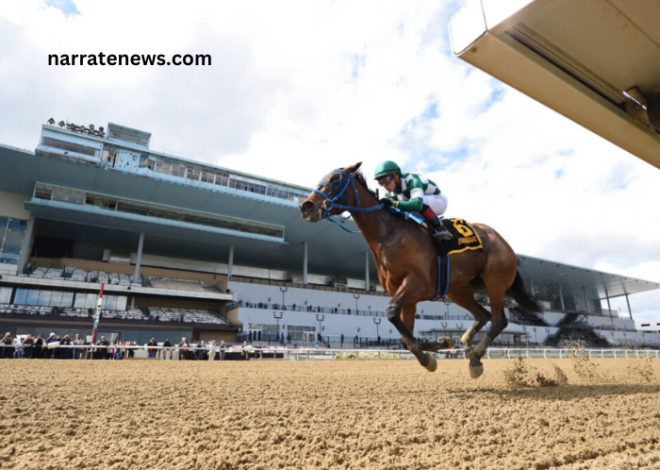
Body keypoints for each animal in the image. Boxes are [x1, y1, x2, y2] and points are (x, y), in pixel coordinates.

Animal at [300, 162, 540, 378]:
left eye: (335, 179)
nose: (306, 206)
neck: (389, 233)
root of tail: (502, 242)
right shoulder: (407, 295)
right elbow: (405, 338)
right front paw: (442, 343)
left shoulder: (419, 284)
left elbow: (391, 312)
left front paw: (430, 355)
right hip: (459, 290)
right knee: (484, 314)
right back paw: (467, 346)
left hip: (495, 282)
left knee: (499, 320)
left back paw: (475, 358)